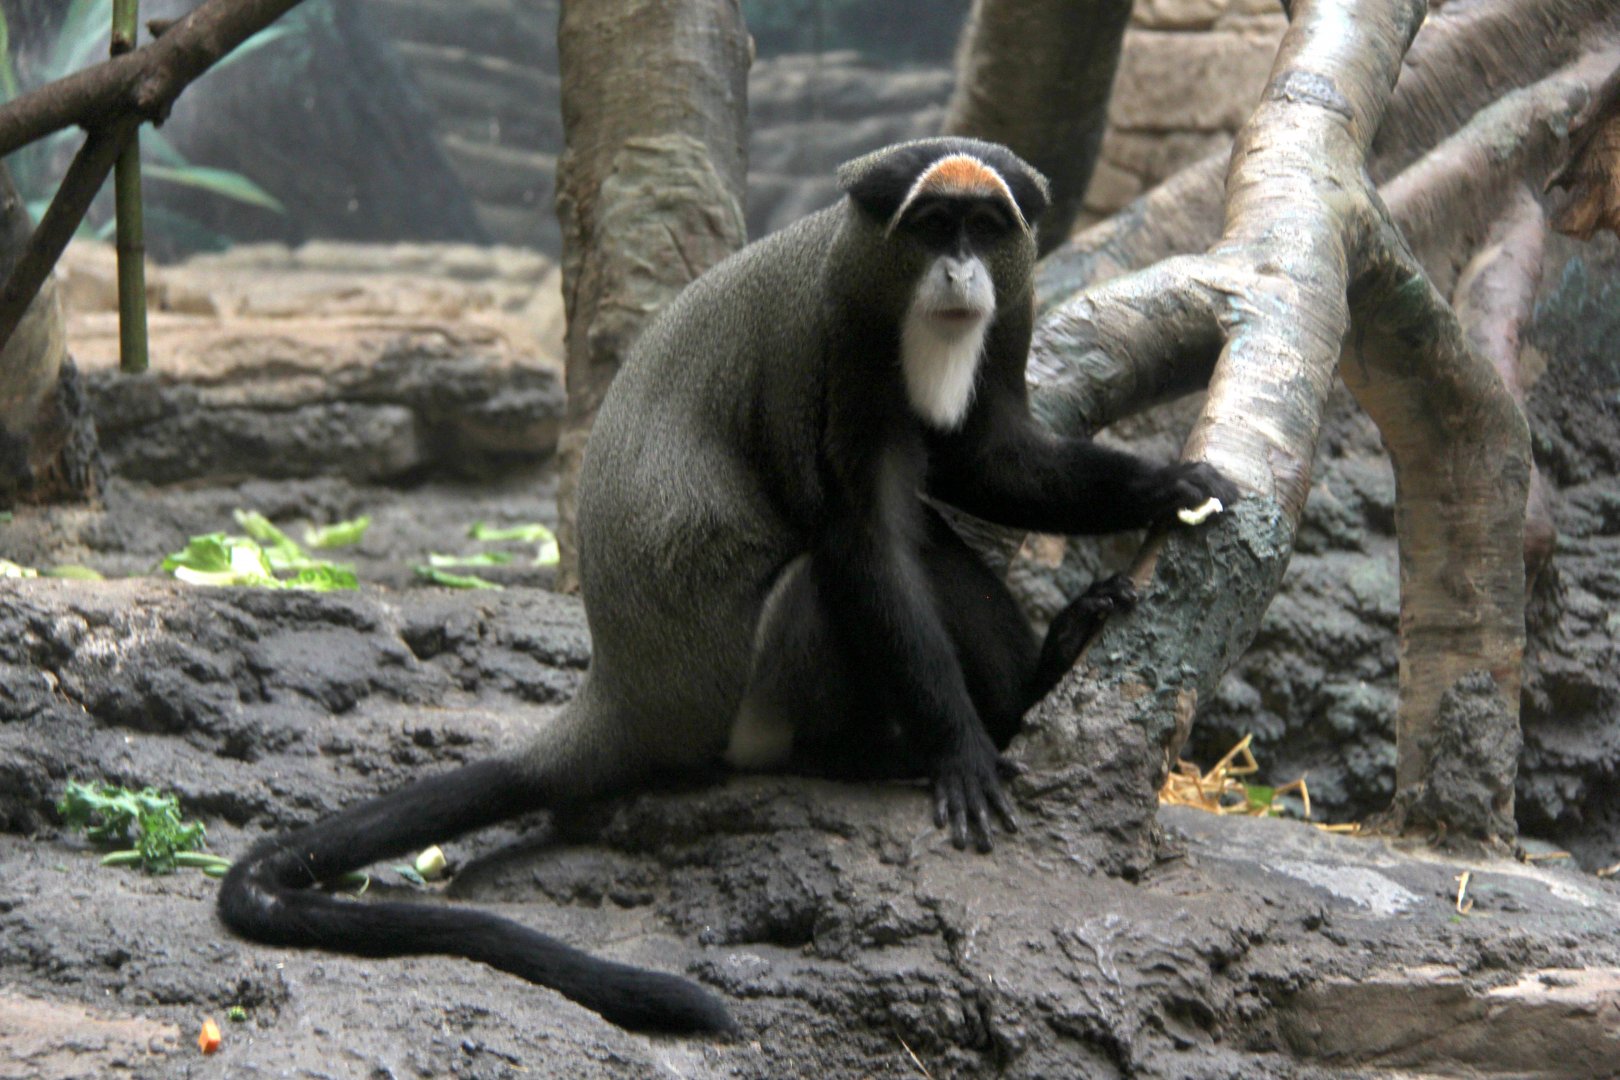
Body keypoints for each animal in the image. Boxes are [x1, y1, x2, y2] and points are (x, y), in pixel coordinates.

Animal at [217, 137, 1238, 1037]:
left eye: (986, 227)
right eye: (931, 226)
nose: (959, 271)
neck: (884, 287)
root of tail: (625, 697)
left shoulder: (1008, 321)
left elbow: (987, 461)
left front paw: (1166, 488)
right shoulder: (831, 345)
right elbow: (862, 539)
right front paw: (958, 750)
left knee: (928, 544)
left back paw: (1040, 675)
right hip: (745, 705)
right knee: (821, 584)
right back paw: (874, 755)